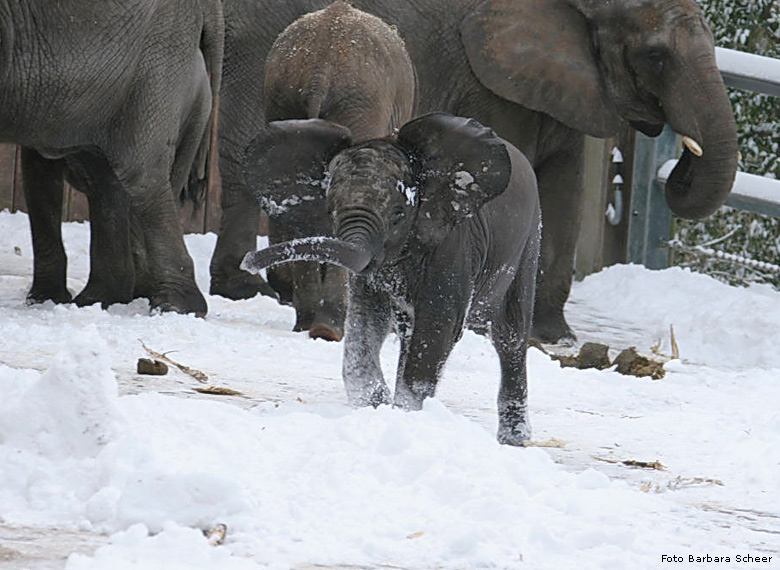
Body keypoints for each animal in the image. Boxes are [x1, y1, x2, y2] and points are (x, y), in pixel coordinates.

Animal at [241, 113, 540, 444]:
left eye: (398, 214)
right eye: (330, 211)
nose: (248, 262)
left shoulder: (455, 243)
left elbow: (440, 324)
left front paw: (406, 415)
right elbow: (367, 319)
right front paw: (378, 405)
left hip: (528, 243)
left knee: (510, 336)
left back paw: (515, 439)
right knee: (409, 332)